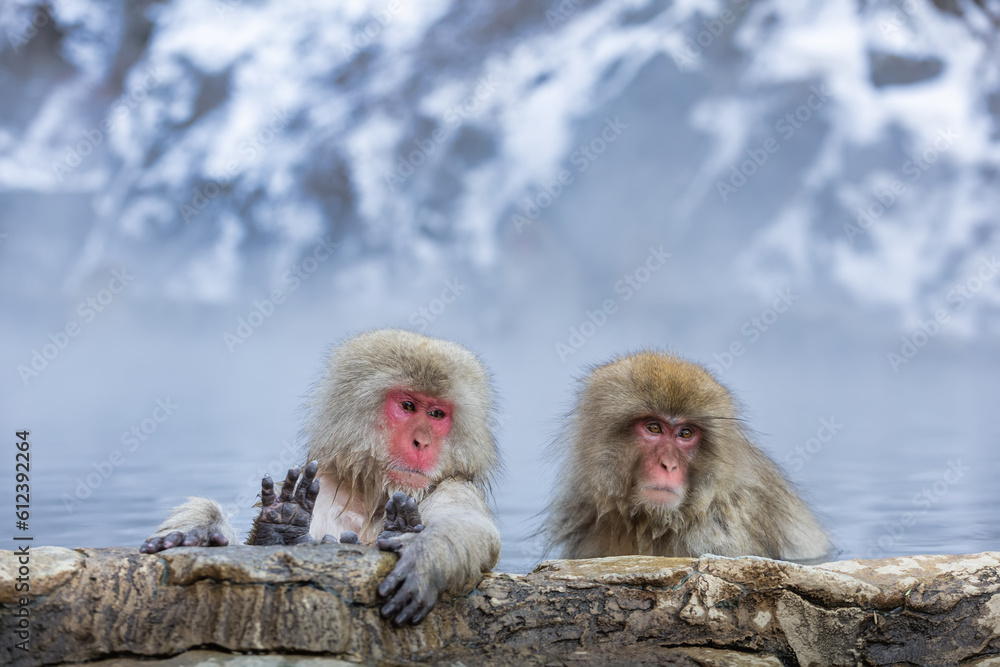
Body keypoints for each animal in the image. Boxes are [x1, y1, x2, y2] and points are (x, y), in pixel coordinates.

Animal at [141, 329, 502, 625]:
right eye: (409, 406)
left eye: (437, 414)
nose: (422, 442)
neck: (376, 493)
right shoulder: (322, 482)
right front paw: (206, 531)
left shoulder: (455, 485)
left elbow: (475, 529)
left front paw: (427, 554)